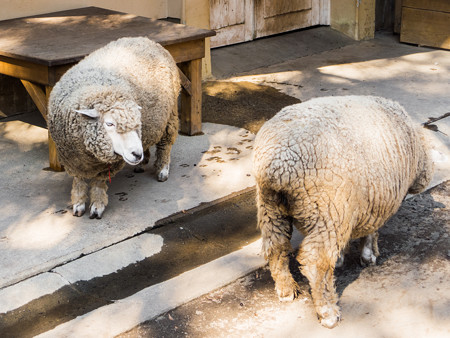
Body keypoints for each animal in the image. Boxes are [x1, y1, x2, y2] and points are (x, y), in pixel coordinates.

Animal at [49, 37, 181, 219]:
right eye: (109, 123)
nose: (136, 154)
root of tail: (145, 39)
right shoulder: (73, 161)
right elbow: (79, 182)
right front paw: (78, 204)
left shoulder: (104, 167)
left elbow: (98, 184)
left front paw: (97, 207)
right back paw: (142, 163)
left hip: (170, 115)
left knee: (165, 144)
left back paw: (162, 169)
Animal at [253, 95, 432, 328]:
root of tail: (279, 163)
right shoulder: (372, 203)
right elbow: (371, 231)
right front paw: (368, 255)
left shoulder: (353, 207)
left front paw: (342, 257)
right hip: (326, 211)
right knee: (315, 261)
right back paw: (327, 311)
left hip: (271, 208)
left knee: (276, 247)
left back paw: (286, 290)